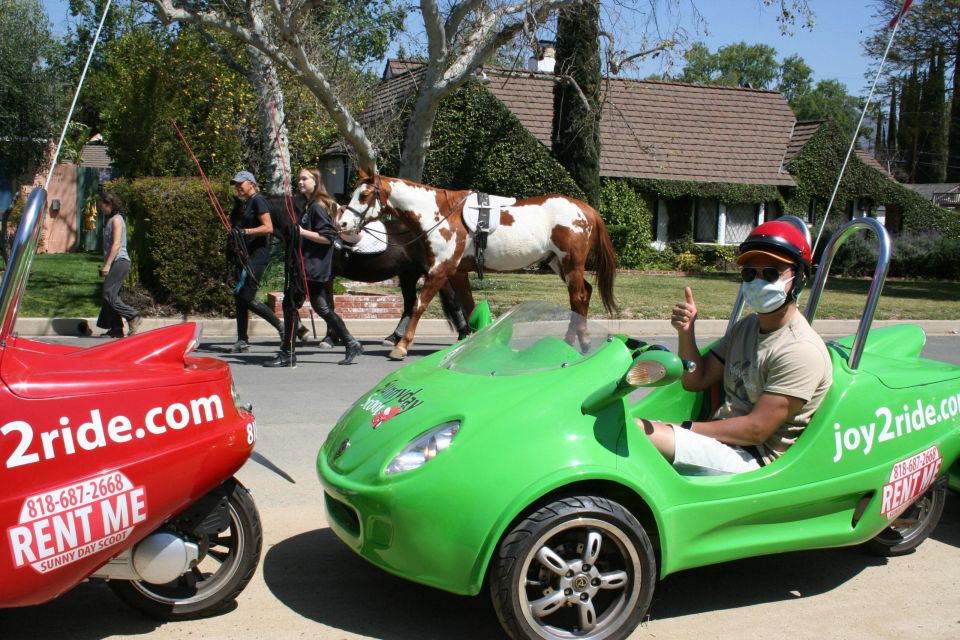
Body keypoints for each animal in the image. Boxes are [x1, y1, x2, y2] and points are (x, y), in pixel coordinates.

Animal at [338, 172, 620, 358]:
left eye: (364, 195)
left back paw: (579, 342)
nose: (343, 224)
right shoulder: (457, 273)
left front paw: (401, 345)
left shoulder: (440, 270)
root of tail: (587, 209)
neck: (442, 214)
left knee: (579, 297)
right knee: (582, 296)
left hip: (571, 264)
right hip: (558, 264)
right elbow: (468, 308)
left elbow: (419, 304)